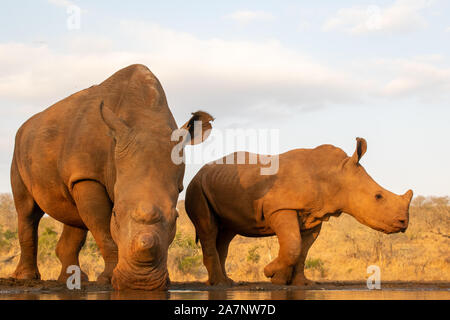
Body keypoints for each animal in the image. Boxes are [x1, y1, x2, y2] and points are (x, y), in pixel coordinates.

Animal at [10, 64, 214, 290]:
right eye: (116, 214)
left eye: (176, 217)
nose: (140, 283)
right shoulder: (88, 177)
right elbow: (103, 230)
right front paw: (109, 280)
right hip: (19, 149)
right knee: (28, 211)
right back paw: (26, 277)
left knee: (74, 216)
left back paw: (72, 280)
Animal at [185, 138, 414, 284]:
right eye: (378, 196)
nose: (404, 223)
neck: (335, 175)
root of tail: (199, 172)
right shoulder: (281, 208)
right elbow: (293, 245)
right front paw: (270, 274)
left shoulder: (315, 215)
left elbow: (302, 251)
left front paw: (298, 283)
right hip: (195, 186)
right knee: (209, 229)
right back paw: (220, 285)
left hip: (218, 183)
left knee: (226, 234)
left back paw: (227, 282)